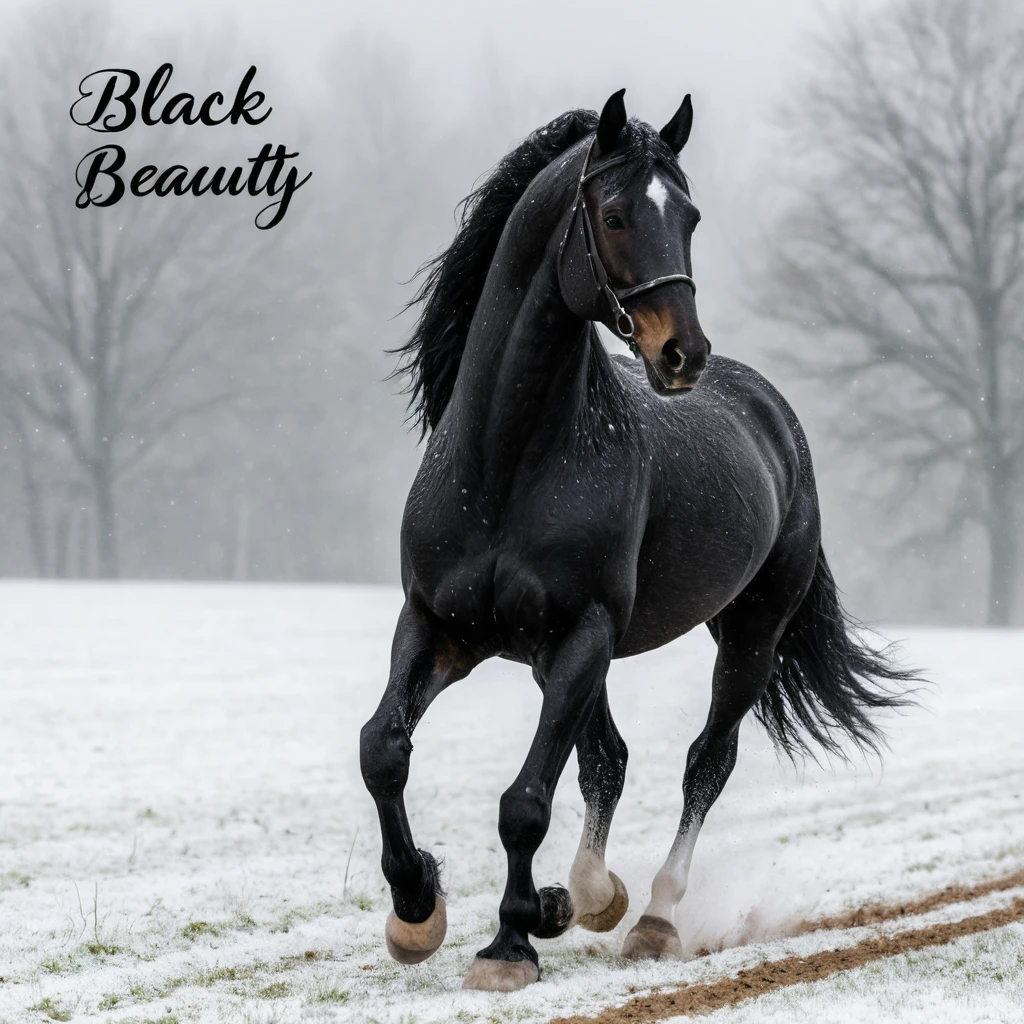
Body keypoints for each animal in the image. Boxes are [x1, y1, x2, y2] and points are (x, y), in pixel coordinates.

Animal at [359, 89, 911, 992]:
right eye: (615, 215)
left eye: (689, 215)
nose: (681, 353)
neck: (506, 465)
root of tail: (773, 416)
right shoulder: (441, 627)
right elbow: (384, 751)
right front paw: (418, 911)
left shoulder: (583, 631)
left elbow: (525, 801)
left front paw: (508, 944)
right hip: (560, 657)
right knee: (608, 760)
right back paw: (585, 897)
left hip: (747, 636)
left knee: (705, 762)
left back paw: (647, 917)